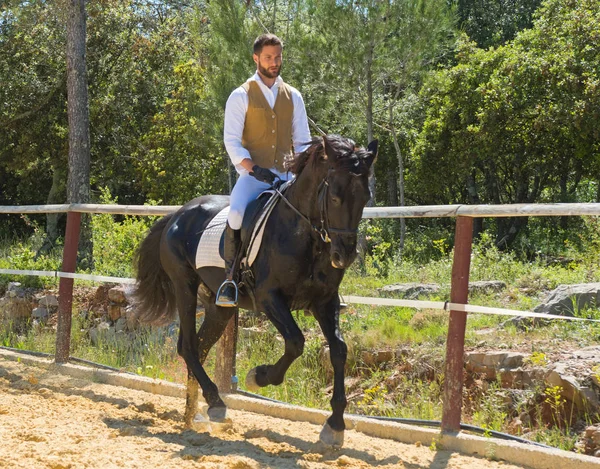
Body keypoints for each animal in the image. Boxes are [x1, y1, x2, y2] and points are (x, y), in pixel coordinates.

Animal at [132, 134, 376, 446]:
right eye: (334, 196)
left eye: (365, 198)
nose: (344, 255)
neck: (304, 234)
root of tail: (176, 215)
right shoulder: (269, 297)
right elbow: (295, 342)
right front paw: (259, 376)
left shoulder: (325, 301)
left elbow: (339, 350)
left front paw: (334, 425)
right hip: (184, 287)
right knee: (188, 346)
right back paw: (215, 403)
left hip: (219, 307)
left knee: (198, 347)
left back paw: (194, 413)